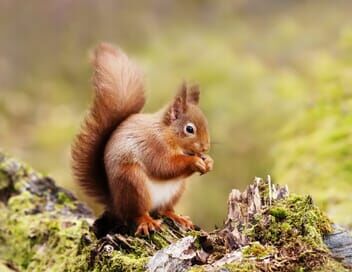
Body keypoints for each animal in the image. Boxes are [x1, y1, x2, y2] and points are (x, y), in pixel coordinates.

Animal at [71, 43, 213, 236]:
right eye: (189, 129)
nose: (205, 147)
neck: (166, 133)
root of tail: (116, 203)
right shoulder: (153, 145)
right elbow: (164, 166)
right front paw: (194, 162)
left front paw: (209, 161)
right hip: (133, 183)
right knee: (137, 213)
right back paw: (147, 222)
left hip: (176, 190)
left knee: (164, 209)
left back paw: (178, 217)